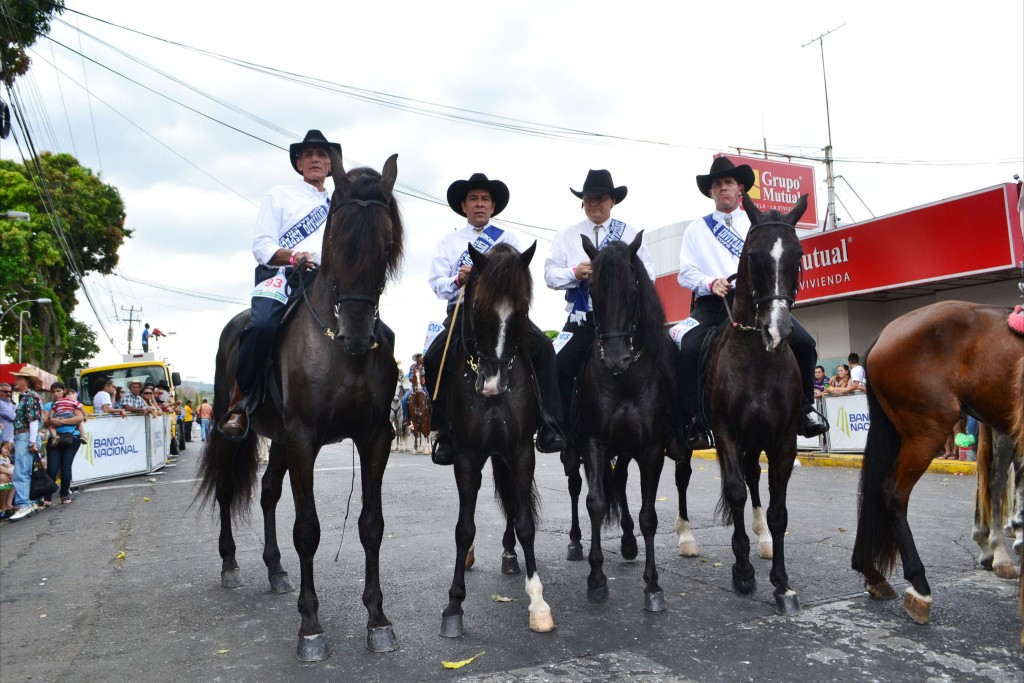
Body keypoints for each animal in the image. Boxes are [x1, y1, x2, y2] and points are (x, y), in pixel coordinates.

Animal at [197, 150, 405, 663]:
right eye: (338, 237)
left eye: (386, 242)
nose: (357, 335)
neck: (339, 351)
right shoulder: (304, 439)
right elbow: (307, 529)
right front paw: (310, 627)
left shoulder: (373, 438)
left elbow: (371, 525)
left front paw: (378, 620)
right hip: (240, 430)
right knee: (229, 489)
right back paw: (230, 565)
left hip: (277, 438)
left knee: (269, 493)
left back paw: (275, 571)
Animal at [438, 242, 557, 638]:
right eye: (477, 307)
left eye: (520, 311)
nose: (492, 384)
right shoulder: (466, 456)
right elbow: (464, 527)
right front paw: (454, 605)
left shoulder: (520, 452)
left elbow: (525, 523)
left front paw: (538, 603)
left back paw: (508, 553)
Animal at [561, 233, 679, 610]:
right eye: (593, 293)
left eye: (632, 291)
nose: (616, 359)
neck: (625, 380)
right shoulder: (594, 442)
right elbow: (596, 503)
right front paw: (596, 578)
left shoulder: (651, 448)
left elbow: (648, 515)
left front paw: (653, 585)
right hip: (574, 452)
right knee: (576, 487)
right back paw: (575, 541)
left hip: (627, 449)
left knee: (623, 480)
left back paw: (627, 541)